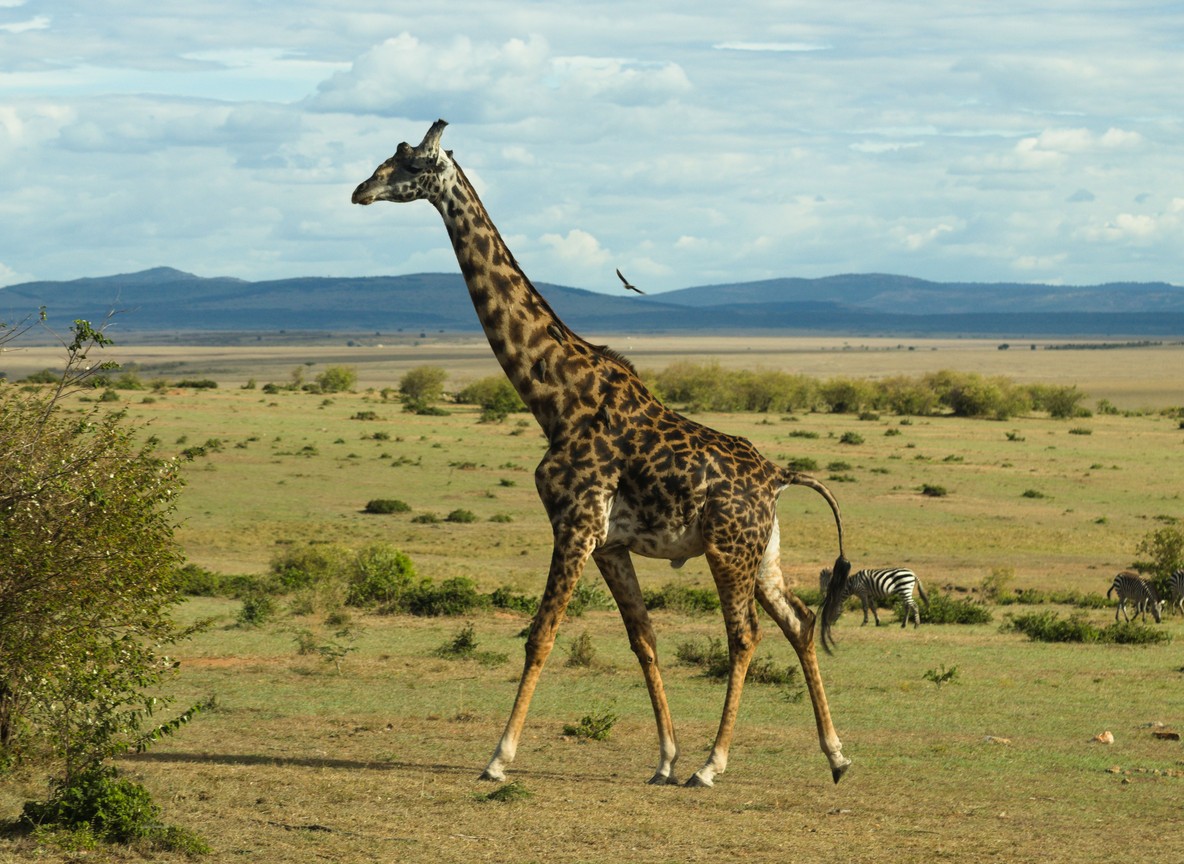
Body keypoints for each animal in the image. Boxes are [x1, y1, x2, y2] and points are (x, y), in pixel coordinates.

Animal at [352, 120, 853, 787]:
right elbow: (643, 638)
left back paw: (713, 765)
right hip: (762, 552)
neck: (556, 398)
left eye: (409, 164)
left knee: (744, 635)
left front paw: (498, 758)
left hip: (727, 547)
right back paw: (836, 755)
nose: (359, 191)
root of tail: (778, 476)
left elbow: (540, 635)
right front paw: (664, 758)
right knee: (799, 620)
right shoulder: (610, 542)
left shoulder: (574, 523)